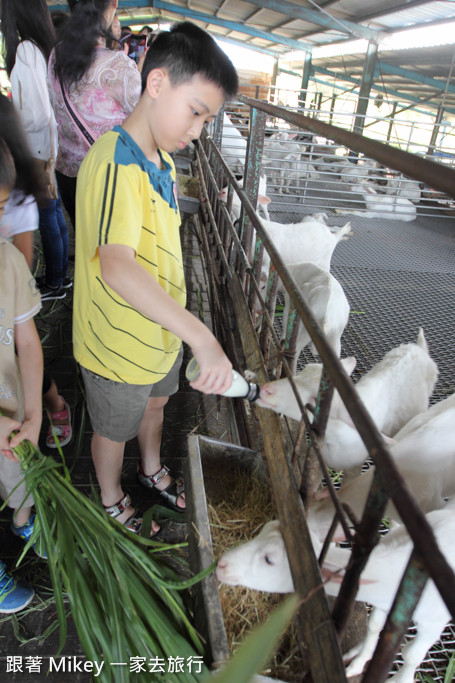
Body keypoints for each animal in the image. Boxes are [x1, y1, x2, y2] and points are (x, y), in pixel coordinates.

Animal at [216, 502, 455, 683]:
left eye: (269, 559)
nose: (221, 564)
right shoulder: (386, 603)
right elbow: (375, 626)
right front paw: (359, 660)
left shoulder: (434, 622)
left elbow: (411, 654)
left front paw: (400, 679)